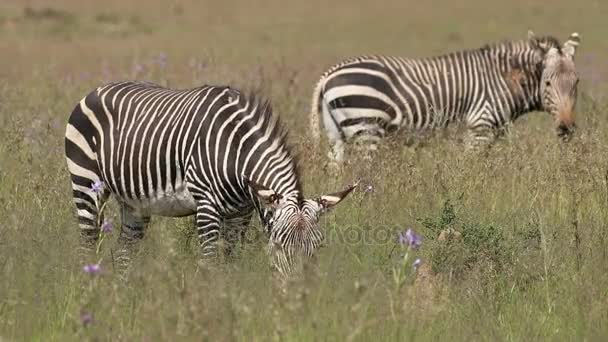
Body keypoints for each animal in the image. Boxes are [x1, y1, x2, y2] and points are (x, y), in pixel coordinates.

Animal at [64, 81, 358, 276]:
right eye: (278, 243)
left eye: (318, 246)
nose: (298, 295)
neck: (236, 150)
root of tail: (95, 90)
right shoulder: (206, 206)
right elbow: (209, 262)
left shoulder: (241, 212)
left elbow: (231, 260)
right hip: (86, 184)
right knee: (86, 244)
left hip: (135, 202)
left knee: (125, 251)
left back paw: (123, 299)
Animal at [312, 31, 580, 165]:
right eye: (547, 83)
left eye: (576, 82)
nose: (566, 128)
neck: (504, 79)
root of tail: (327, 75)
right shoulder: (480, 127)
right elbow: (473, 170)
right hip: (367, 129)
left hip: (336, 134)